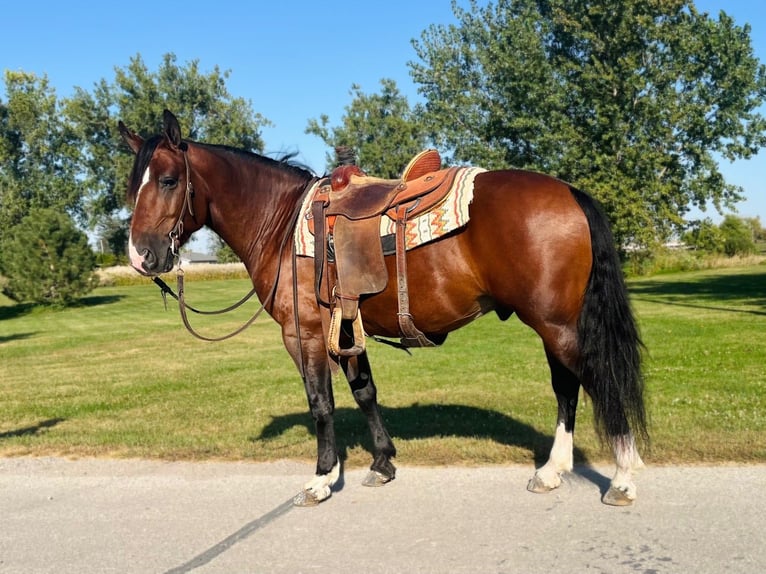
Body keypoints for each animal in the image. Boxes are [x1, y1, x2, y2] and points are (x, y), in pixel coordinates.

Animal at [120, 111, 648, 508]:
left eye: (168, 180)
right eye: (132, 186)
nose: (141, 256)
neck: (282, 223)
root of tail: (570, 192)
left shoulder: (304, 335)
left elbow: (321, 403)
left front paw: (321, 478)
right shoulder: (346, 328)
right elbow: (365, 392)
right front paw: (382, 462)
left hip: (556, 323)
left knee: (594, 379)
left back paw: (622, 476)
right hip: (554, 324)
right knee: (567, 387)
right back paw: (553, 471)